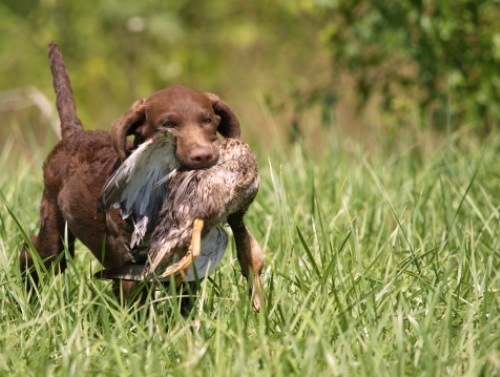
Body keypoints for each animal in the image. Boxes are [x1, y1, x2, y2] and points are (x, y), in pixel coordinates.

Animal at [20, 43, 244, 296]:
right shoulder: (128, 266)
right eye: (168, 125)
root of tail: (74, 134)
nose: (203, 156)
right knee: (35, 253)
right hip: (54, 223)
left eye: (207, 121)